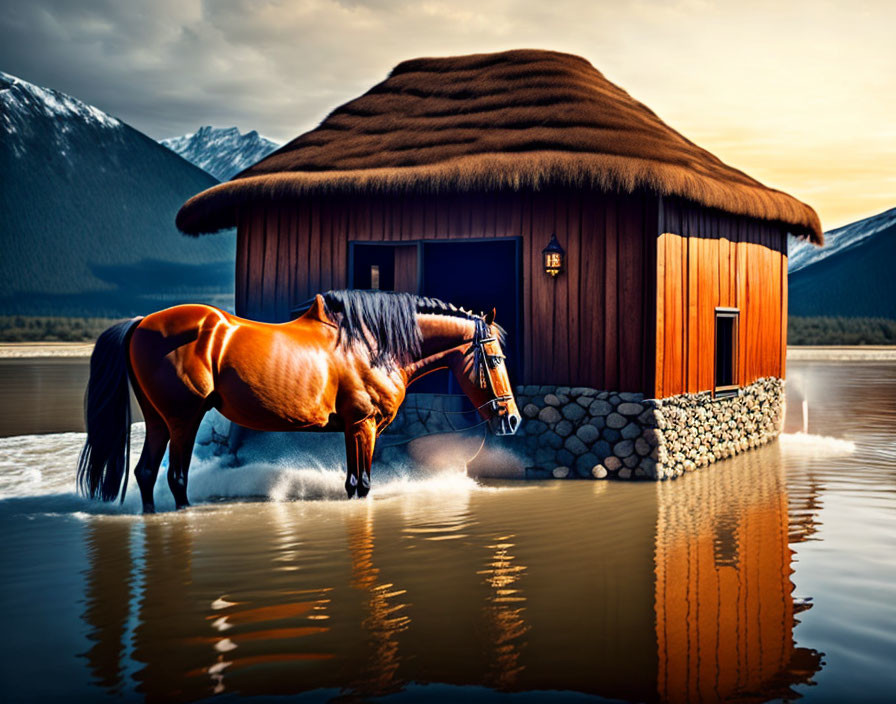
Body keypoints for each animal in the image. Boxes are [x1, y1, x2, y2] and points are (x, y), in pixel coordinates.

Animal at [79, 288, 520, 516]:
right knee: (176, 477)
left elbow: (352, 483)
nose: (511, 419)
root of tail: (143, 323)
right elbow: (363, 484)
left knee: (146, 473)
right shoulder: (364, 425)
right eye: (496, 359)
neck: (371, 347)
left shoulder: (353, 428)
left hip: (158, 421)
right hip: (183, 420)